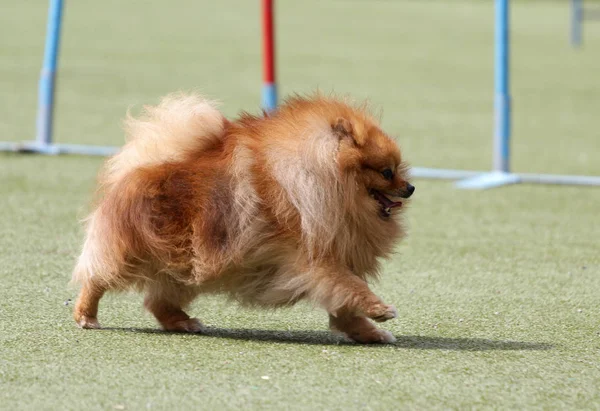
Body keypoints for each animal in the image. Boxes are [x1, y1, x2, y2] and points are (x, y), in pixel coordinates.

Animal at [72, 93, 414, 344]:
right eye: (386, 172)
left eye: (399, 169)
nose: (410, 187)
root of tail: (141, 166)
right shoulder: (313, 259)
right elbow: (350, 286)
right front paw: (379, 309)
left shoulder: (330, 259)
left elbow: (345, 305)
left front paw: (371, 333)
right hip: (131, 252)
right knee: (96, 277)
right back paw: (86, 314)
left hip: (186, 265)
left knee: (158, 302)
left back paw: (183, 322)